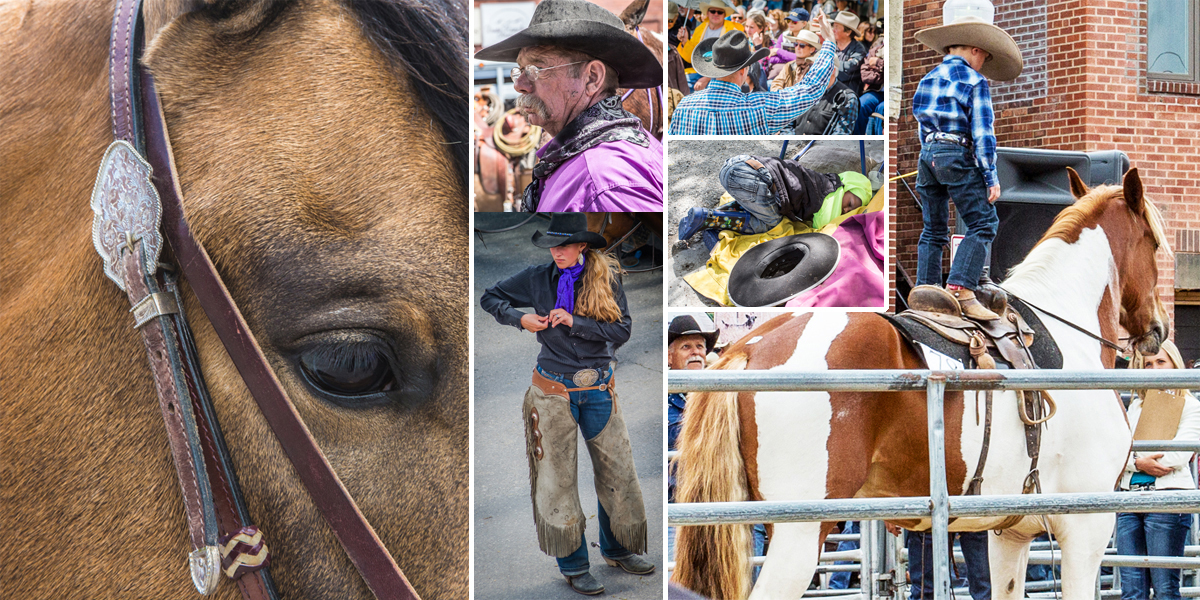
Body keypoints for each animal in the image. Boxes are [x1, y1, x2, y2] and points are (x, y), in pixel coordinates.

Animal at [676, 169, 1171, 600]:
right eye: (1153, 245)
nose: (1160, 327)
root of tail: (750, 348)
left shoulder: (1008, 534)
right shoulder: (1086, 528)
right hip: (799, 533)